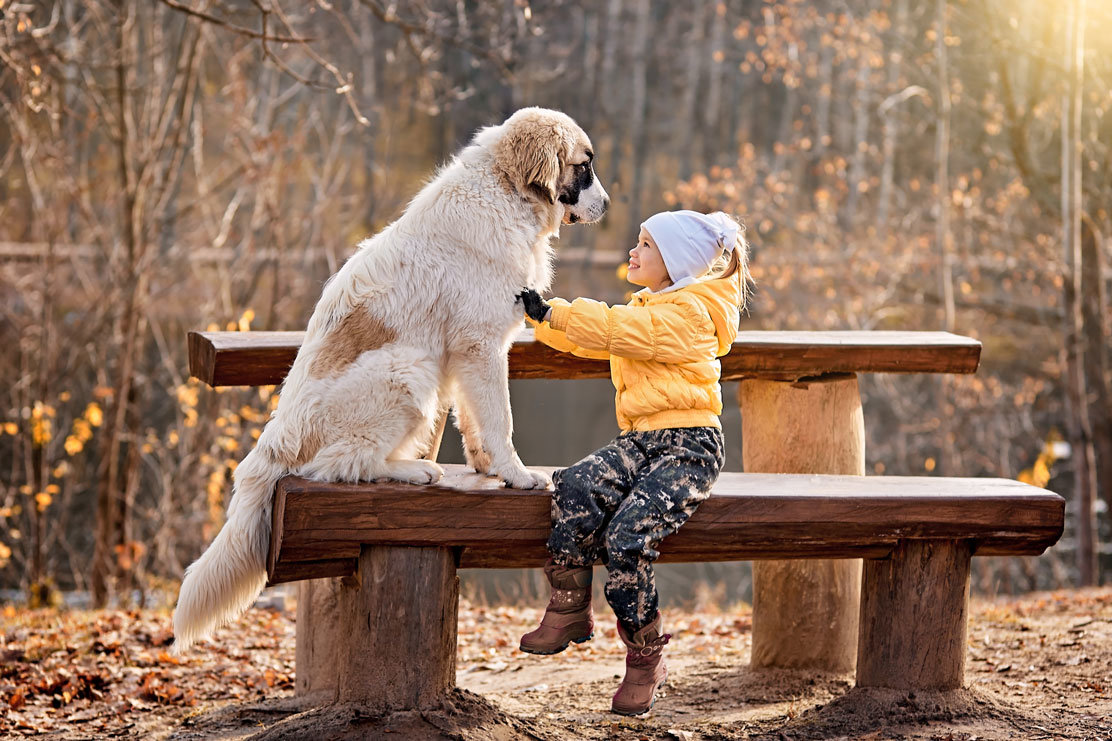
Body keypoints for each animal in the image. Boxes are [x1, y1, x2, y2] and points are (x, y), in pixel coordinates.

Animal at [173, 108, 609, 645]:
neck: (505, 192)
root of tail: (276, 442)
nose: (608, 205)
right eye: (583, 166)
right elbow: (500, 419)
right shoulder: (479, 344)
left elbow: (475, 420)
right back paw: (413, 470)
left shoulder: (469, 353)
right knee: (341, 464)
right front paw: (517, 474)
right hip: (407, 371)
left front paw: (487, 467)